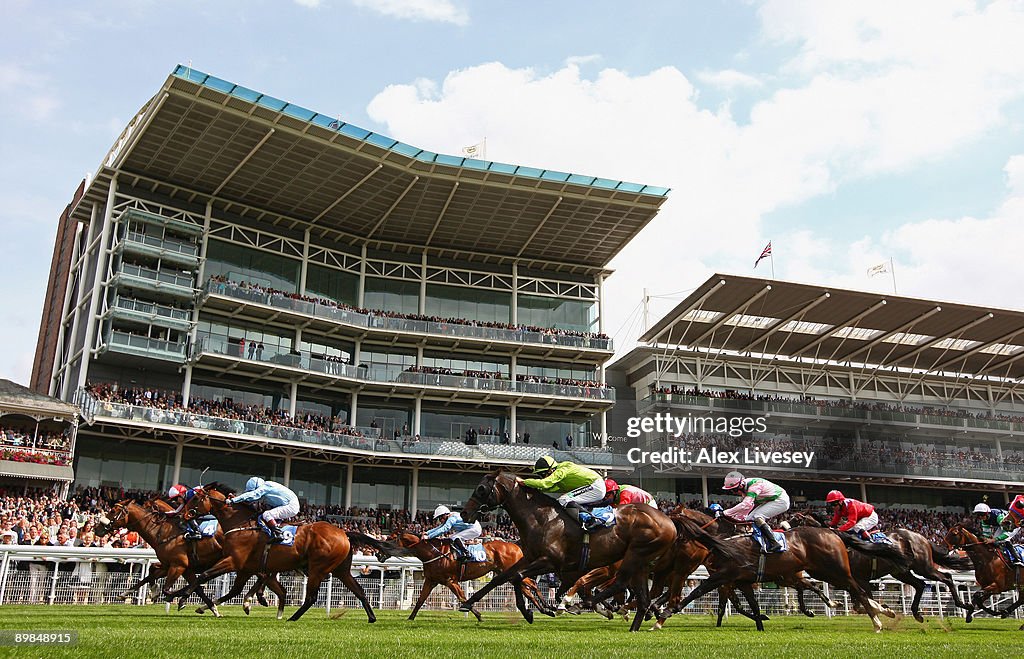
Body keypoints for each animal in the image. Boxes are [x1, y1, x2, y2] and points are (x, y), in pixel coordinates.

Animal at [169, 480, 393, 622]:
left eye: (195, 499)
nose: (182, 515)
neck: (240, 524)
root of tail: (343, 532)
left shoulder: (234, 561)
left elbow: (204, 576)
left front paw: (179, 596)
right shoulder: (246, 567)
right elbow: (232, 590)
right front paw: (199, 604)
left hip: (318, 568)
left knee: (311, 598)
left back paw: (292, 618)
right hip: (341, 570)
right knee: (360, 591)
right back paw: (371, 618)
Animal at [389, 532, 552, 622]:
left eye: (390, 539)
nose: (381, 552)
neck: (434, 553)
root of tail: (516, 546)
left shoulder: (450, 581)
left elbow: (462, 597)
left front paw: (478, 615)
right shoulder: (431, 580)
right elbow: (420, 600)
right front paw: (410, 618)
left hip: (510, 572)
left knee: (532, 585)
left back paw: (548, 607)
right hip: (507, 574)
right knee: (527, 590)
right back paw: (544, 609)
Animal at [458, 468, 745, 634]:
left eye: (481, 489)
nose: (464, 513)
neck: (541, 517)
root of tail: (670, 519)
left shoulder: (552, 561)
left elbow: (519, 578)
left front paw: (539, 609)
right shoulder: (530, 558)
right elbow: (502, 578)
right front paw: (469, 604)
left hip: (645, 558)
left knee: (633, 587)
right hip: (646, 562)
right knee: (644, 595)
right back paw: (636, 623)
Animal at [790, 509, 974, 622]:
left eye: (795, 520)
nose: (786, 534)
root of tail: (922, 537)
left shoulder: (859, 579)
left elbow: (863, 602)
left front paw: (884, 610)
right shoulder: (851, 580)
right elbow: (860, 604)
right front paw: (884, 609)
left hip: (924, 567)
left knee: (946, 577)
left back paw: (966, 606)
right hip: (901, 572)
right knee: (920, 584)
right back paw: (917, 613)